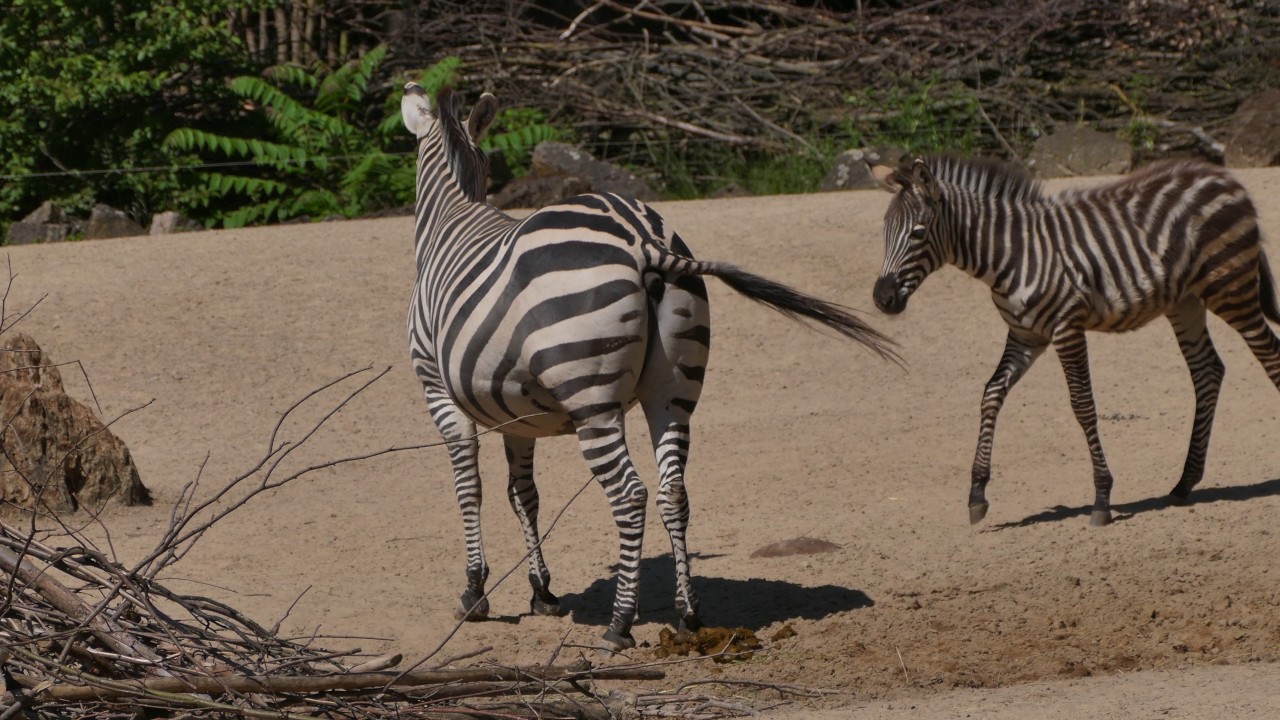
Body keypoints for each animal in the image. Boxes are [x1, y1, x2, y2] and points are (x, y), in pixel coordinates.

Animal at [401, 82, 896, 650]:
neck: (452, 217)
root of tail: (643, 239)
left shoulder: (438, 389)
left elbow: (471, 488)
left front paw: (475, 592)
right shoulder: (515, 413)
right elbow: (523, 495)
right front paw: (542, 591)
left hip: (592, 399)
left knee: (630, 495)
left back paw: (619, 623)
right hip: (674, 390)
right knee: (673, 491)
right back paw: (688, 613)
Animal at [869, 155, 1280, 527]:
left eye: (918, 233)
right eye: (884, 232)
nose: (882, 299)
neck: (1010, 254)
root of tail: (1222, 176)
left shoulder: (1067, 327)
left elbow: (1082, 405)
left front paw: (1102, 498)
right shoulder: (1026, 335)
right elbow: (991, 394)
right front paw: (977, 494)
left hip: (1232, 290)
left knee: (1270, 357)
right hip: (1186, 301)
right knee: (1208, 370)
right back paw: (1183, 484)